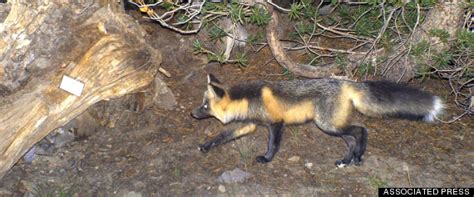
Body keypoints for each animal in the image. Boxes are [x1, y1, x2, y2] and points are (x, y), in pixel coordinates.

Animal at [191, 74, 442, 168]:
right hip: (332, 126)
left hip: (327, 125)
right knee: (352, 138)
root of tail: (346, 82)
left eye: (204, 106)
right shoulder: (248, 124)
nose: (193, 114)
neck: (248, 99)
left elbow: (273, 145)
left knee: (362, 130)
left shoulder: (276, 124)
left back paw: (358, 157)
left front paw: (267, 159)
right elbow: (221, 136)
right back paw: (346, 160)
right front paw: (205, 146)